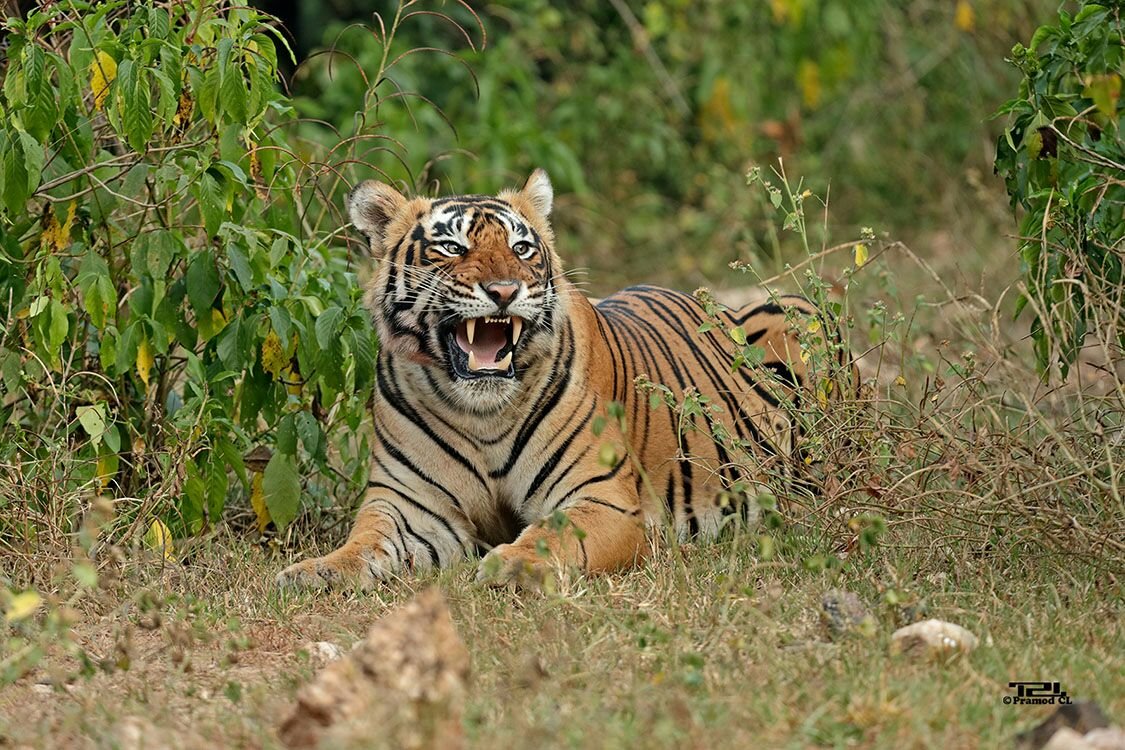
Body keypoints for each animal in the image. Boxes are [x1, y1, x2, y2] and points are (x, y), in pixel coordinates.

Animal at [274, 169, 846, 593]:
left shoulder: (601, 498)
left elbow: (553, 534)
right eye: (452, 248)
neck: (479, 412)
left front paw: (508, 565)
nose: (504, 290)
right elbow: (363, 544)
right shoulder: (409, 507)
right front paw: (313, 572)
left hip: (792, 312)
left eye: (522, 249)